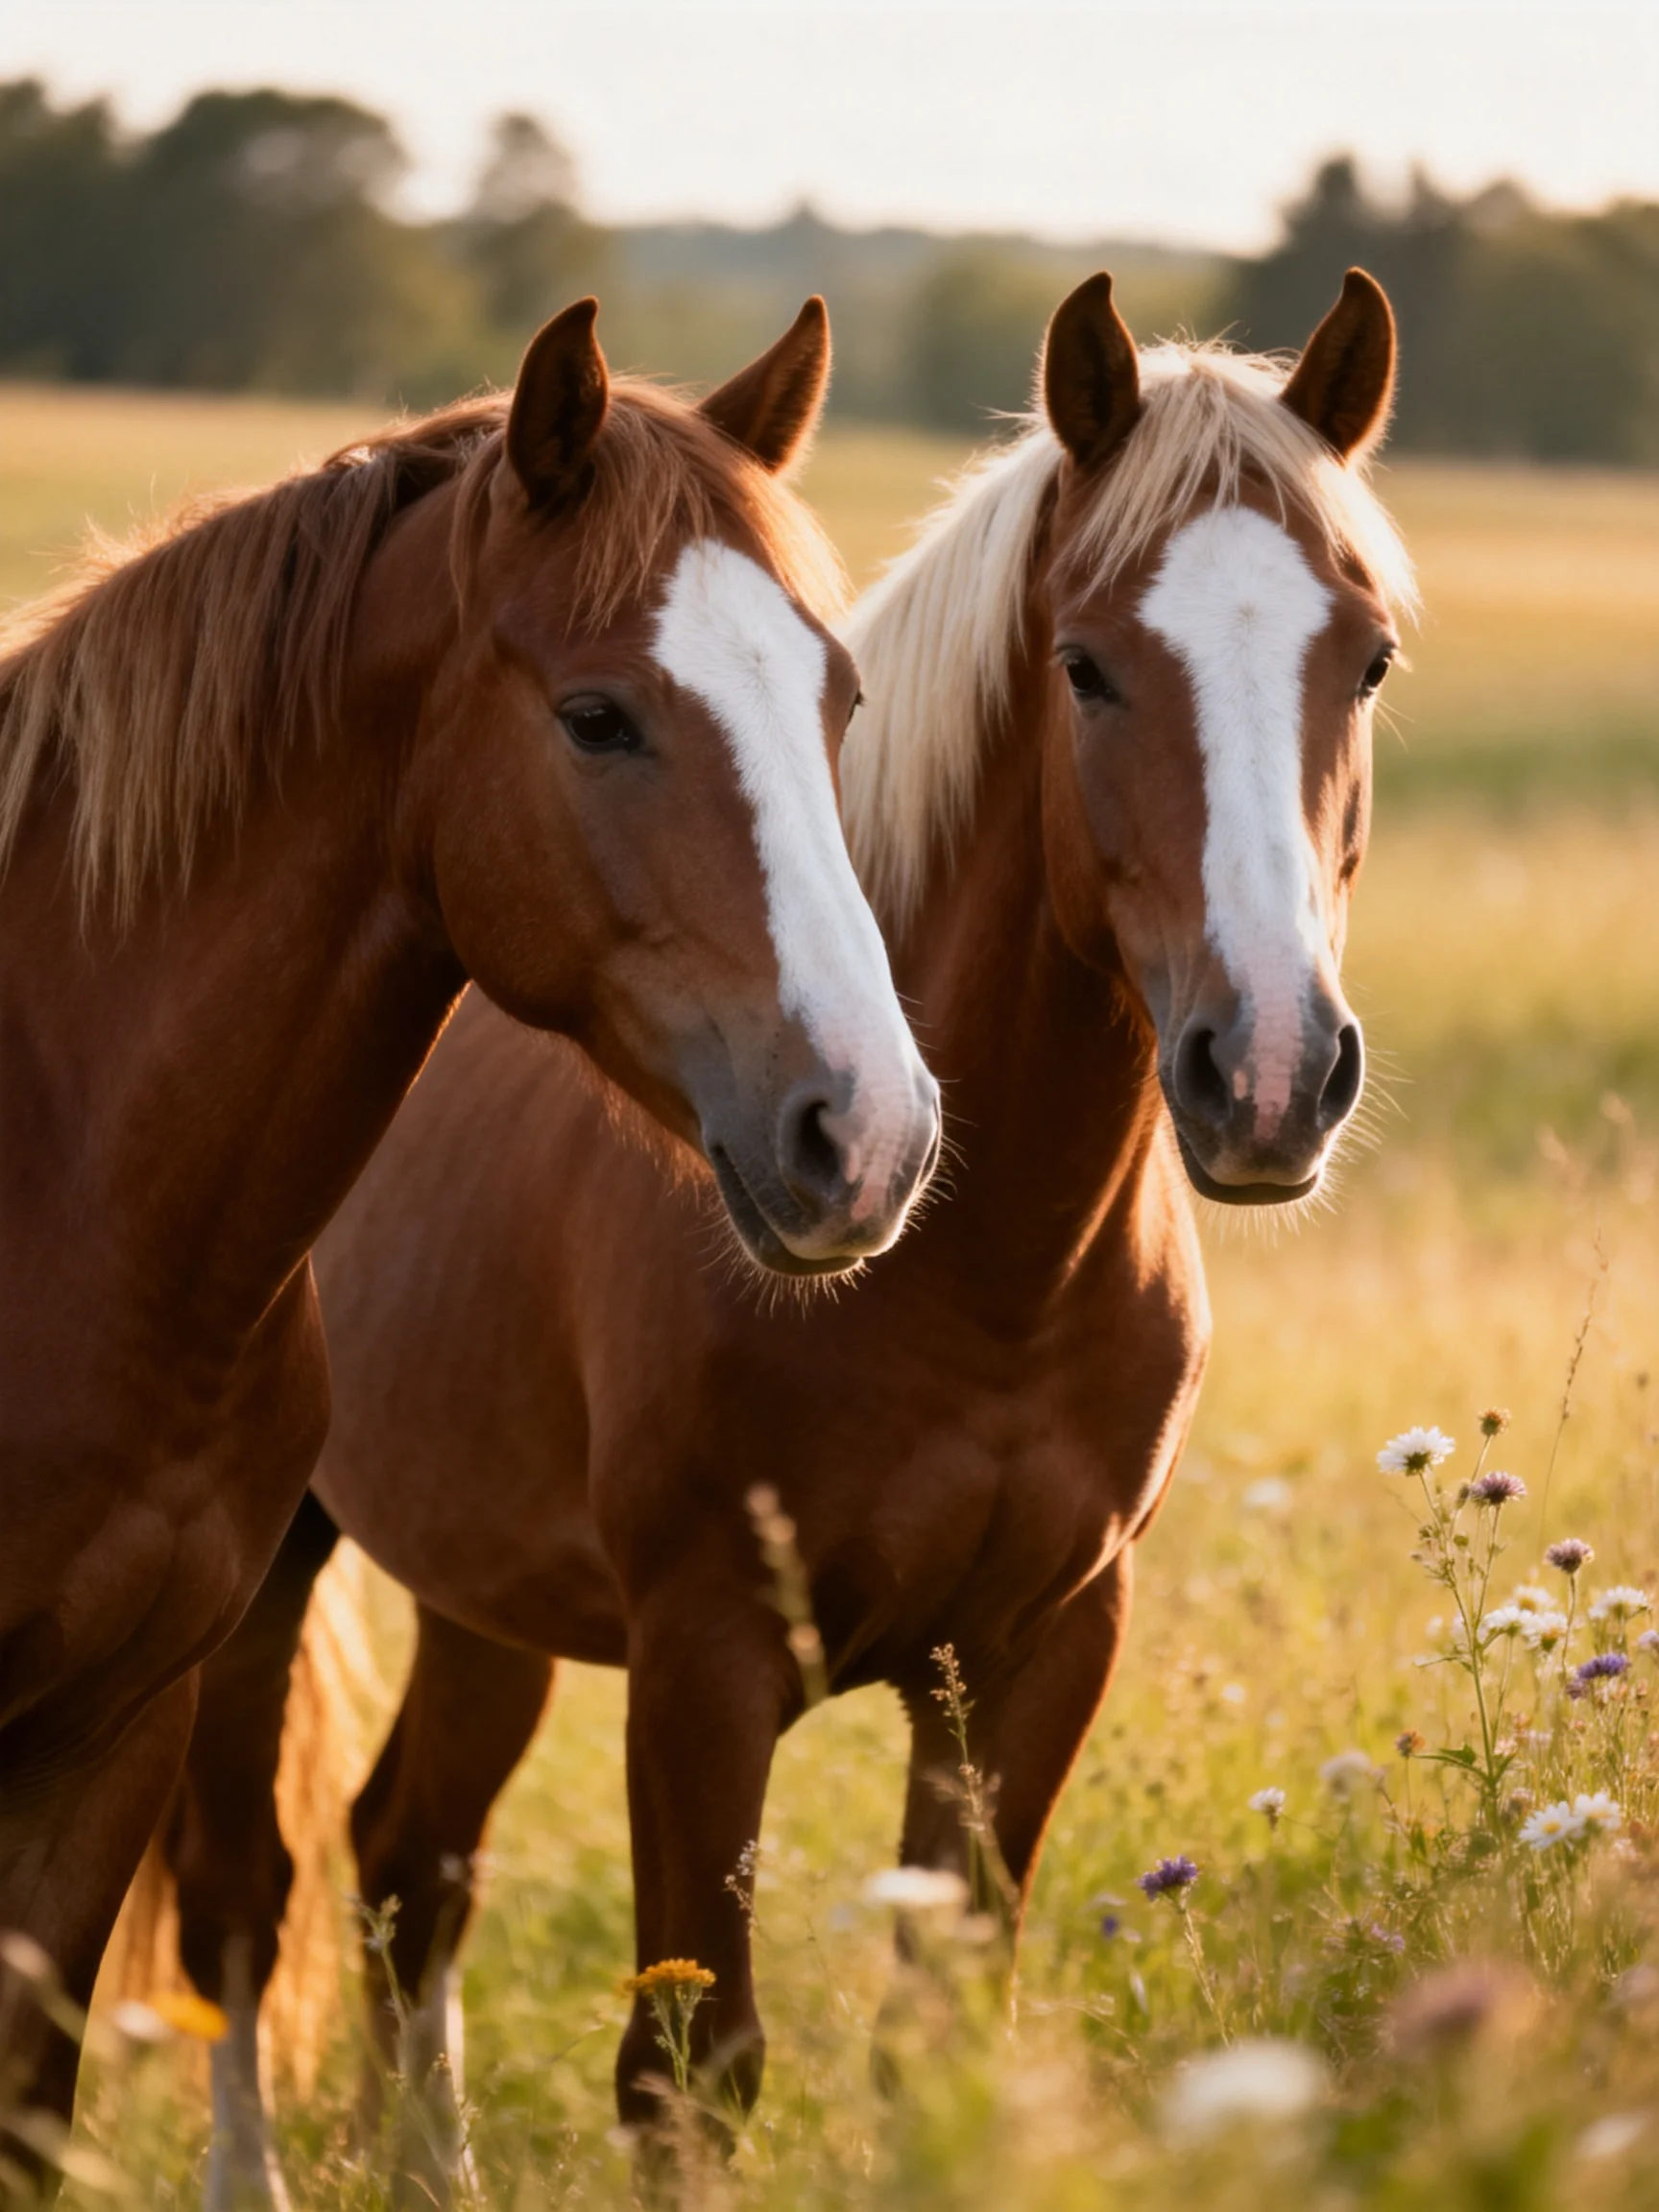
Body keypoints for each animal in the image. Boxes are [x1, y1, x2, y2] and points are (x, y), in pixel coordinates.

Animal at [166, 268, 1414, 2203]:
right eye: (1086, 665)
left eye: (1360, 658)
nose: (1268, 1072)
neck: (984, 1280)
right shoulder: (706, 1664)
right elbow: (689, 2065)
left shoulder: (1035, 1653)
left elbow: (940, 2041)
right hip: (276, 1573)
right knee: (250, 1898)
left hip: (479, 1591)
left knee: (406, 1860)